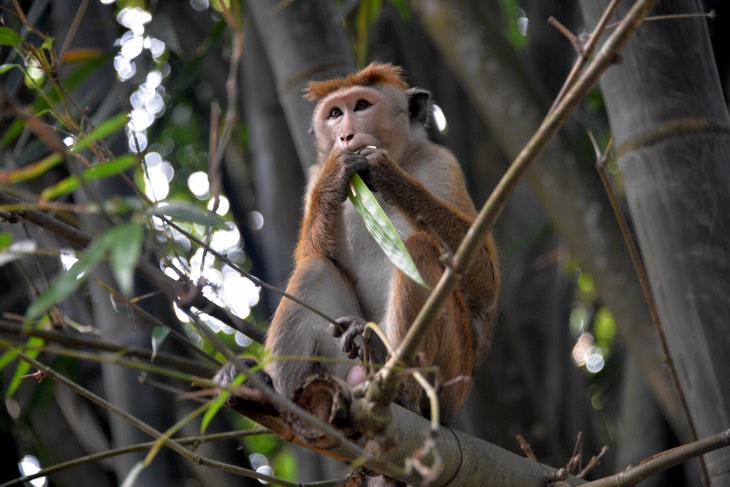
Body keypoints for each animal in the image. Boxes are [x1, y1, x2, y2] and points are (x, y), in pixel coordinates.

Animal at [219, 63, 498, 428]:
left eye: (362, 106)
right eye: (336, 113)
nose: (346, 135)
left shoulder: (442, 164)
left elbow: (485, 281)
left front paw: (390, 175)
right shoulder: (313, 175)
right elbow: (310, 253)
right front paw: (335, 175)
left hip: (451, 378)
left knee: (420, 249)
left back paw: (399, 384)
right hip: (341, 368)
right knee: (314, 269)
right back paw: (272, 398)